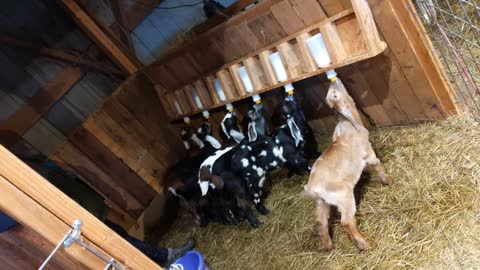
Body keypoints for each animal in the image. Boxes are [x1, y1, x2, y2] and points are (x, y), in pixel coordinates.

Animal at [306, 78, 392, 251]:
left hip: (321, 203)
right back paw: (364, 244)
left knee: (321, 222)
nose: (334, 81)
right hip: (343, 196)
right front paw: (387, 180)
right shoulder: (368, 152)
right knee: (346, 221)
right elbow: (377, 164)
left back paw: (329, 246)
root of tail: (312, 188)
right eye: (334, 94)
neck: (350, 122)